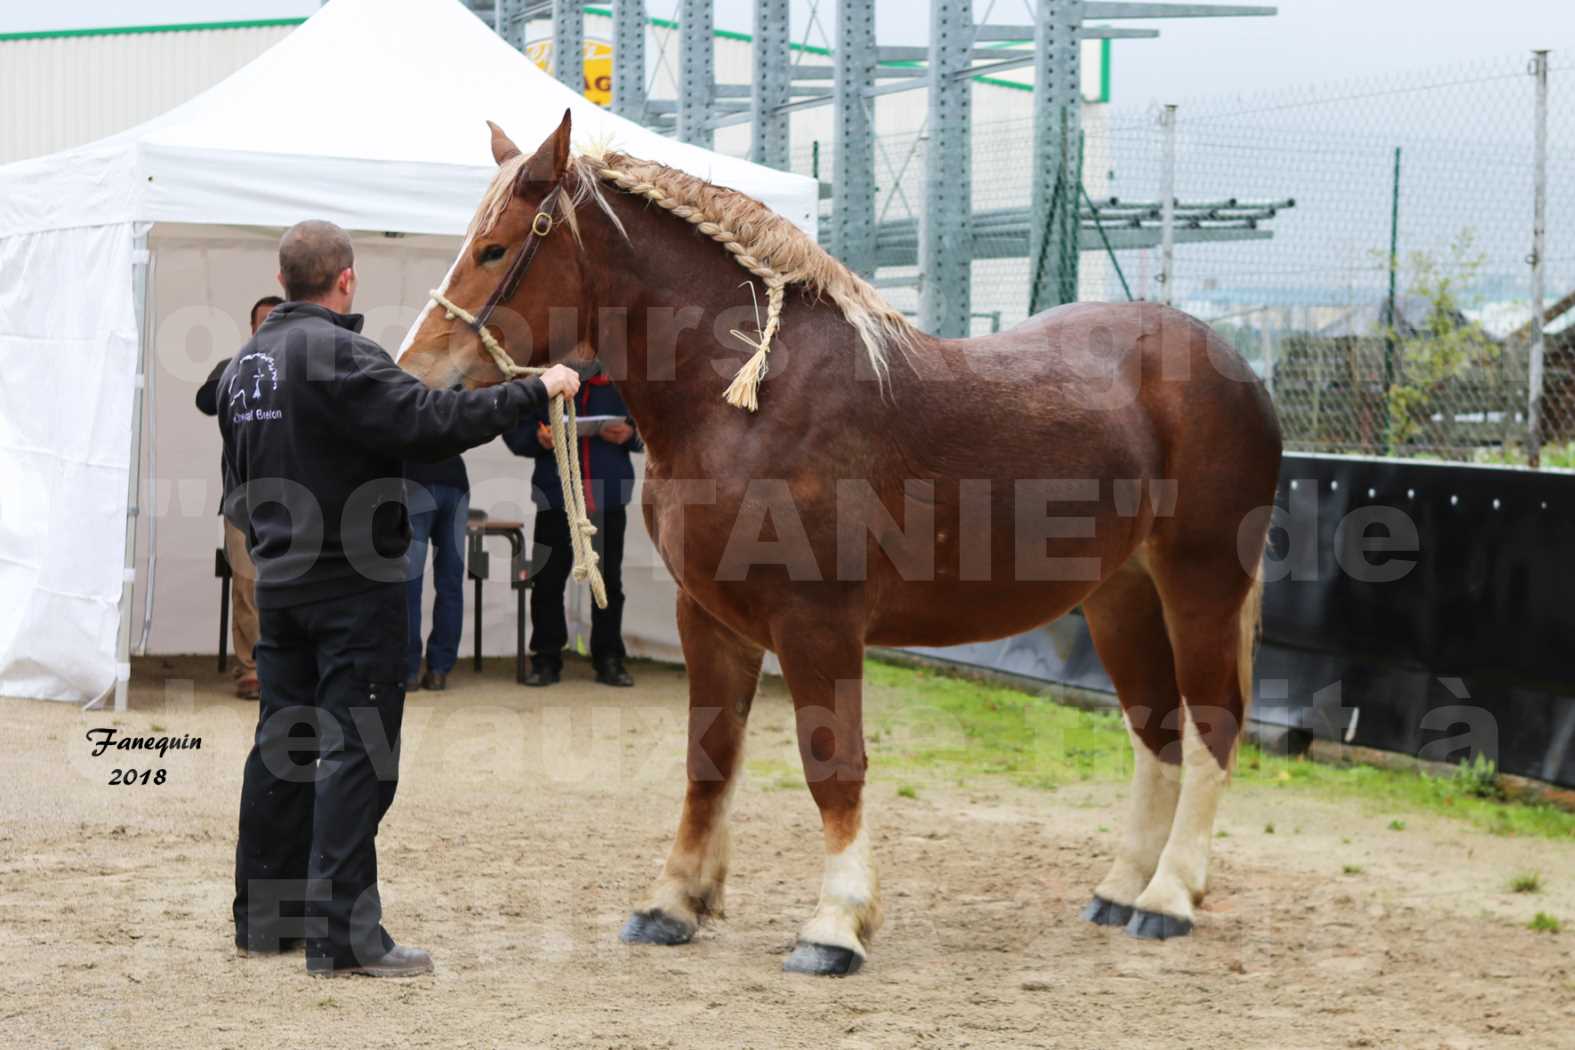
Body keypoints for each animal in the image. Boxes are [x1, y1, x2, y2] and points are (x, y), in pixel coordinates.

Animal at [400, 114, 1285, 976]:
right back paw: (1119, 890)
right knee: (1154, 731)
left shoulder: (815, 623)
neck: (753, 400)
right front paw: (674, 904)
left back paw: (1168, 899)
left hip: (1199, 584)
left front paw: (835, 924)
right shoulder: (707, 619)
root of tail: (1229, 362)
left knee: (1210, 726)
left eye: (495, 249)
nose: (417, 376)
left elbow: (831, 764)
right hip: (1118, 598)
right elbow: (707, 757)